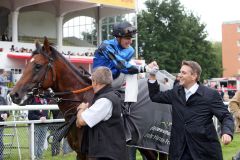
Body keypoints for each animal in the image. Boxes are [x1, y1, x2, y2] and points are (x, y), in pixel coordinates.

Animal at [9, 37, 163, 159]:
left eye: (38, 66)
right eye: (26, 65)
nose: (13, 95)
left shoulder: (93, 153)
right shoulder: (81, 153)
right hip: (145, 146)